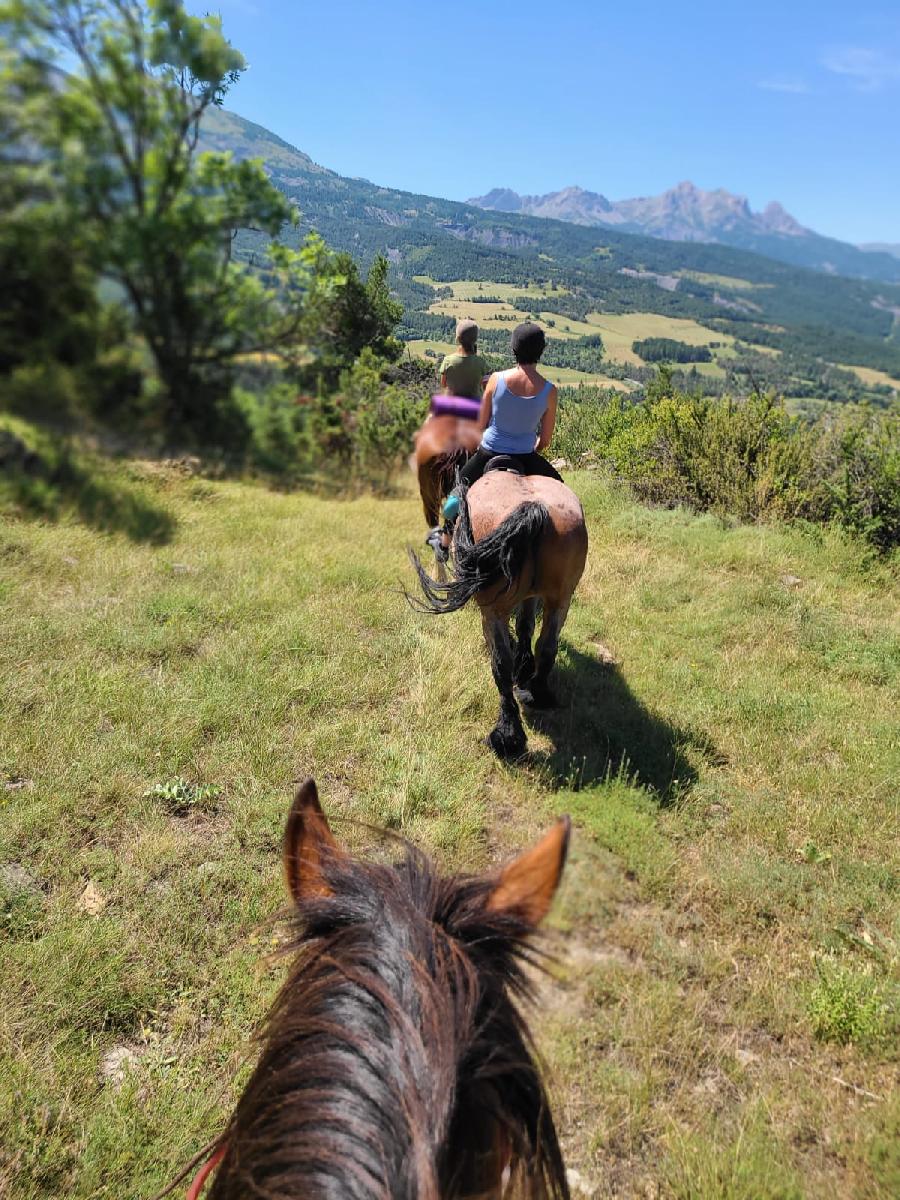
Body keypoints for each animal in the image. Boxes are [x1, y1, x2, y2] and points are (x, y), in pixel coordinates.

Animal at [410, 468, 592, 758]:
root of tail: (535, 507)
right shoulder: (532, 596)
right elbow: (526, 625)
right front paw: (525, 665)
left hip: (493, 611)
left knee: (501, 664)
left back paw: (506, 736)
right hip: (561, 599)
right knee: (547, 646)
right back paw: (537, 694)